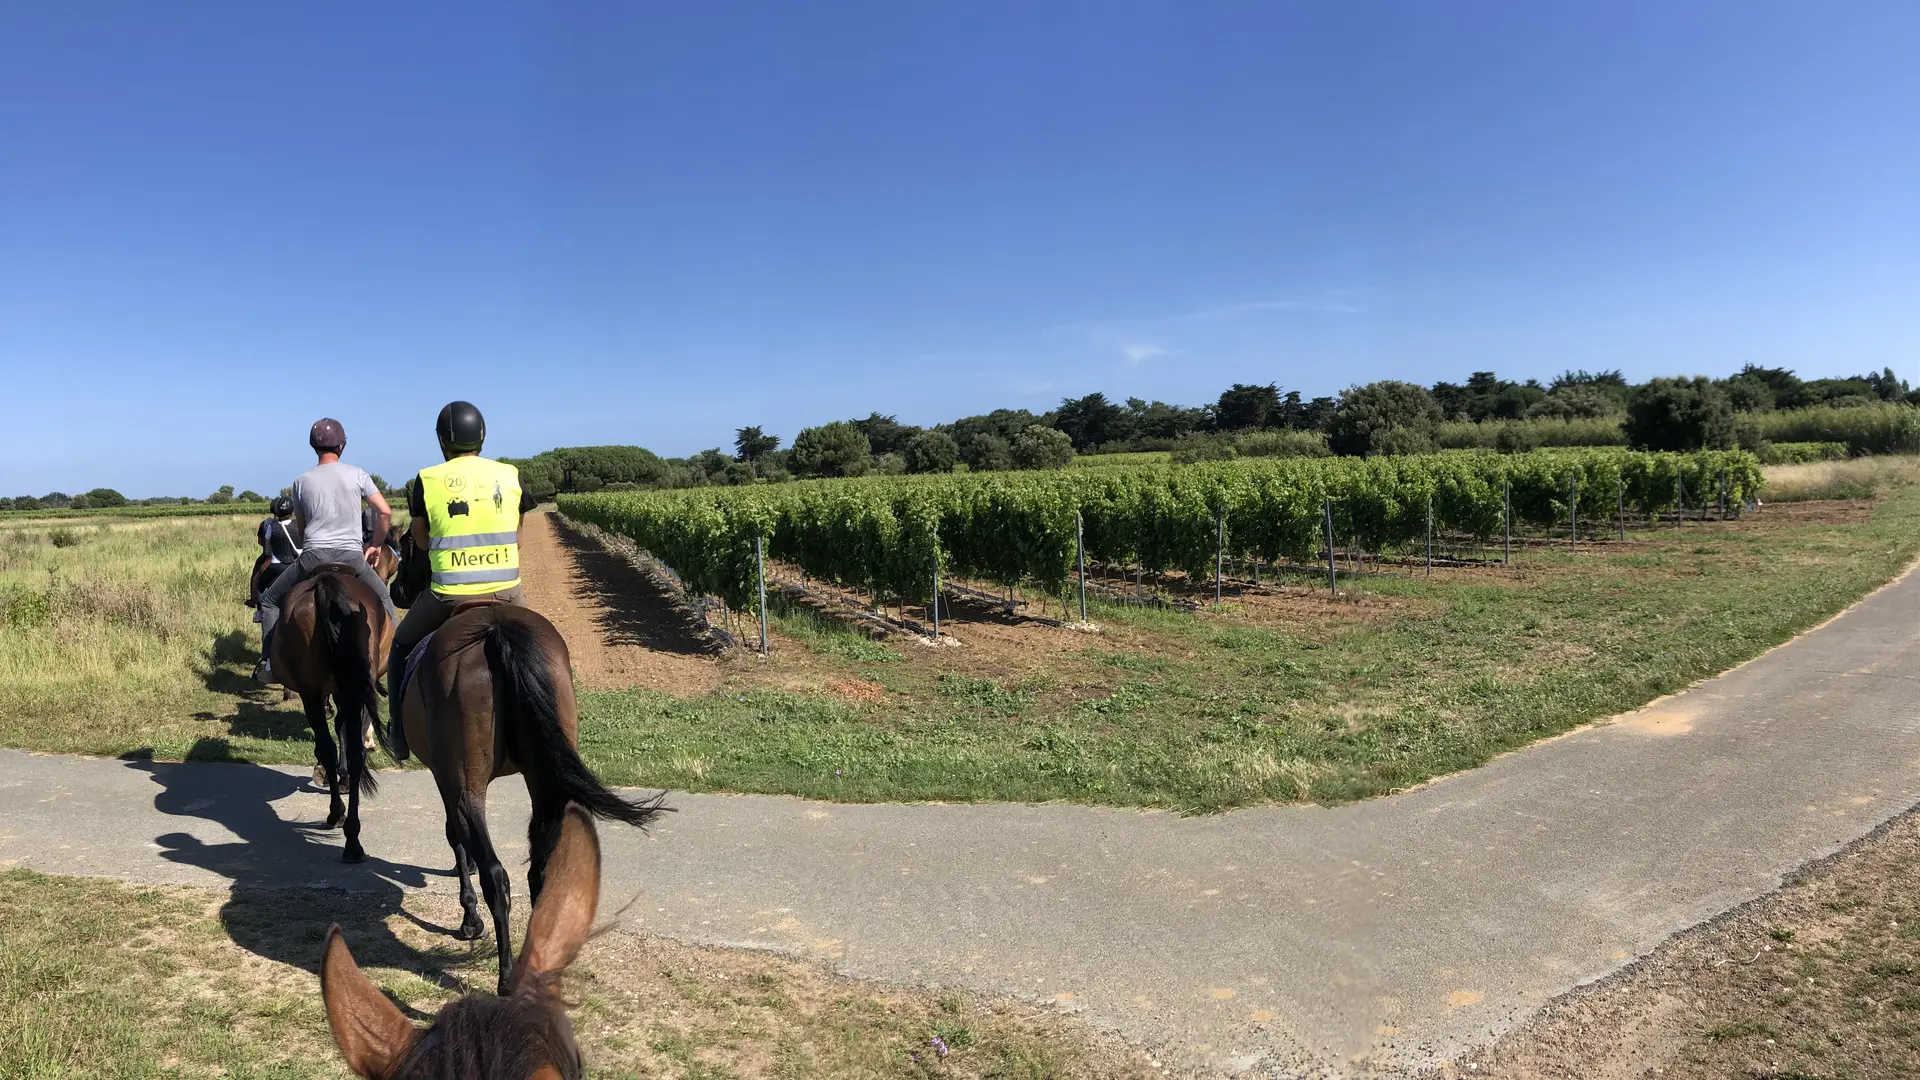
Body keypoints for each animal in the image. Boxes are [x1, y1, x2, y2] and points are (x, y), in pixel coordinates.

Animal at [270, 564, 393, 857]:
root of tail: (328, 582)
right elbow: (344, 729)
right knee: (354, 751)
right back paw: (352, 838)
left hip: (313, 692)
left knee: (327, 745)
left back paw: (338, 815)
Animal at [384, 591, 668, 991]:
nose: (399, 593)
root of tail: (496, 631)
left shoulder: (444, 778)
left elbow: (455, 837)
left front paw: (469, 919)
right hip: (545, 782)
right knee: (541, 870)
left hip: (468, 785)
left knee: (495, 873)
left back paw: (506, 977)